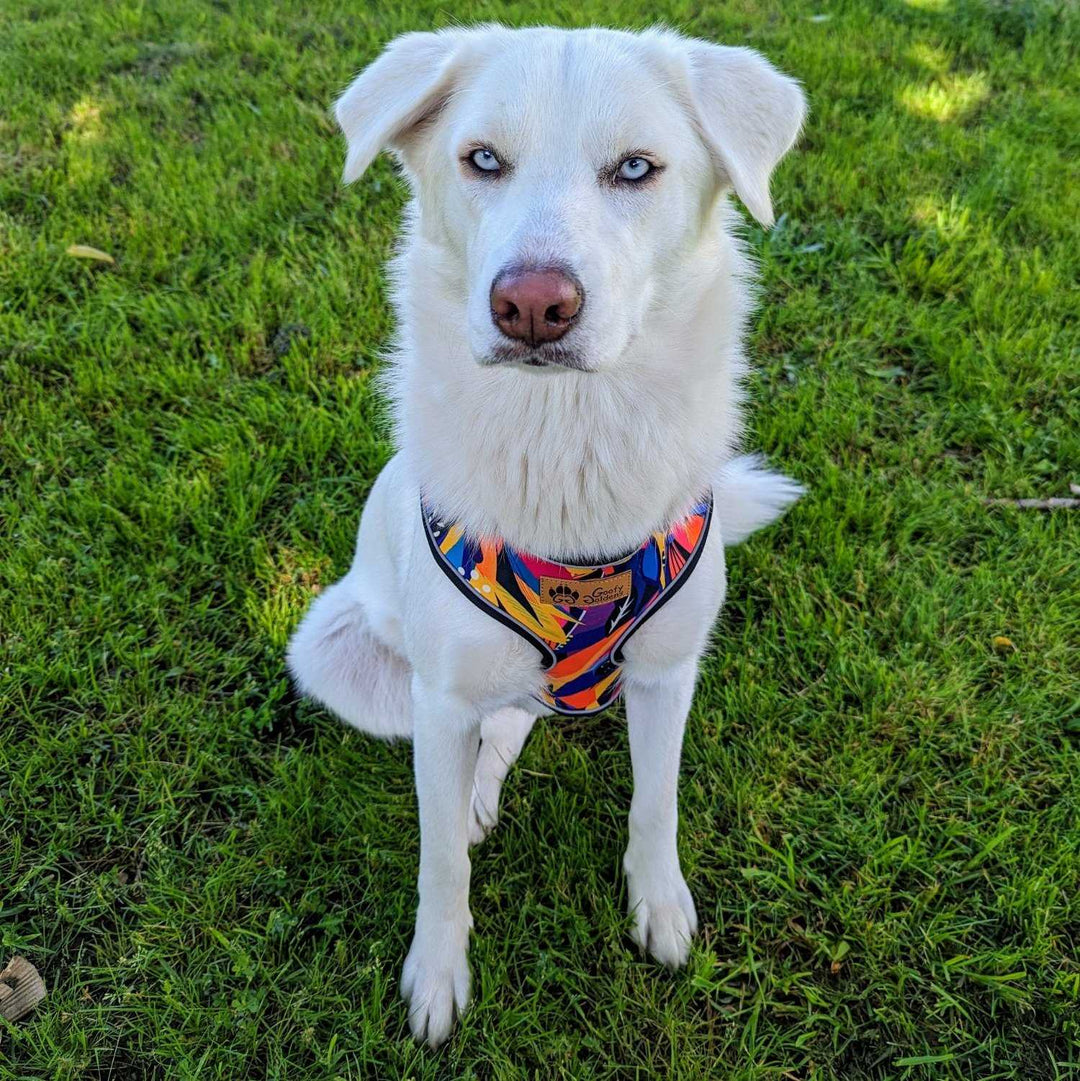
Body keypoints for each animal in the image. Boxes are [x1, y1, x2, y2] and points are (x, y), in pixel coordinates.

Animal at [291, 25, 808, 1042]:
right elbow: (441, 860)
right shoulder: (441, 699)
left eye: (636, 167)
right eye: (483, 159)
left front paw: (659, 907)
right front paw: (437, 975)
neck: (568, 445)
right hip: (344, 658)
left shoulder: (668, 673)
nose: (532, 303)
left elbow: (656, 802)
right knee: (497, 727)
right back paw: (479, 790)